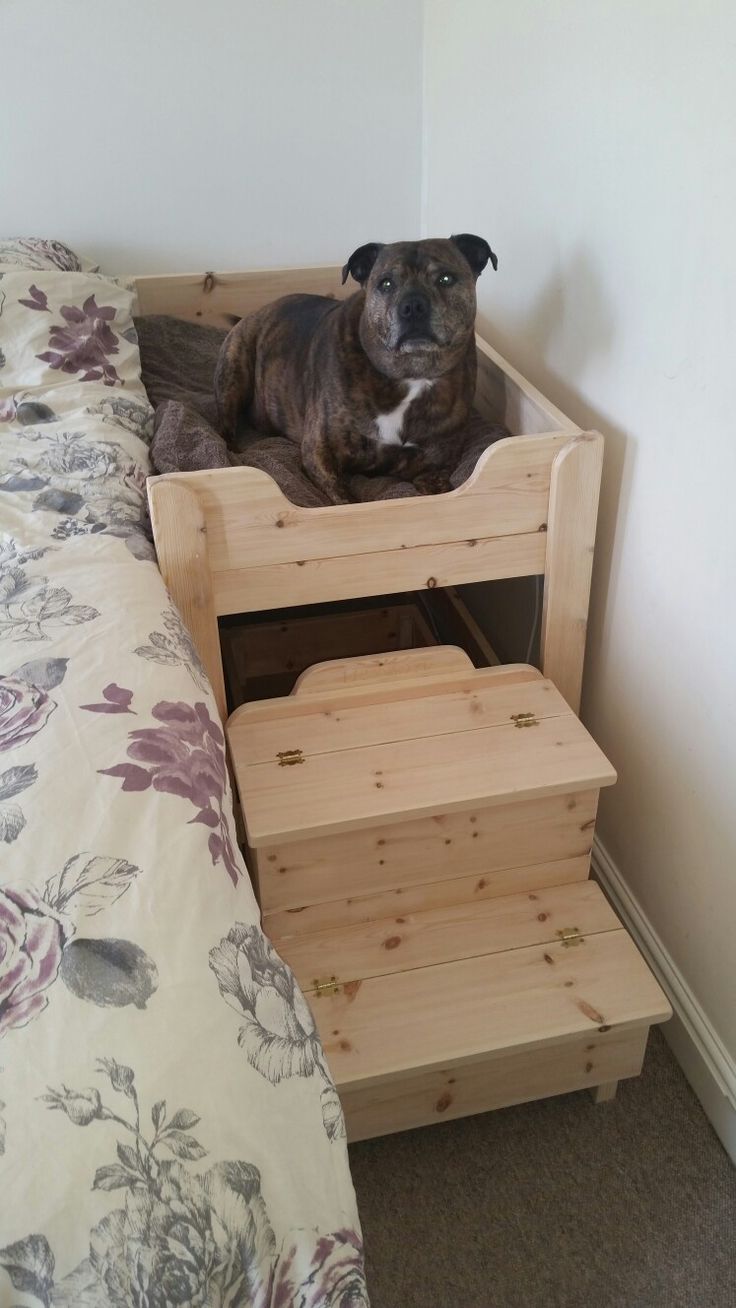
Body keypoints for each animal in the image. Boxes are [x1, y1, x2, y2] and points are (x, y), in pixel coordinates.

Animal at [215, 232, 499, 502]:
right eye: (386, 283)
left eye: (446, 279)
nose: (412, 306)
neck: (412, 373)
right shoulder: (320, 453)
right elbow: (346, 501)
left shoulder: (435, 468)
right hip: (234, 371)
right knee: (225, 427)